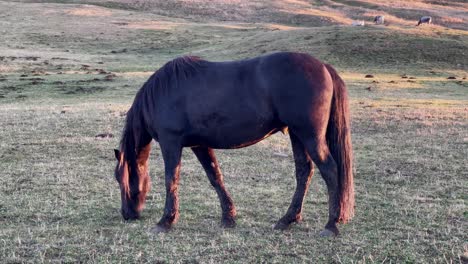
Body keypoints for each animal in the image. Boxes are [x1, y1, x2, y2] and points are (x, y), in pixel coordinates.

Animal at [113, 51, 354, 235]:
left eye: (121, 178)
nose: (127, 214)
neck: (163, 92)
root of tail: (323, 66)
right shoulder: (199, 145)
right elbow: (215, 177)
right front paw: (228, 216)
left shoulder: (170, 142)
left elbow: (171, 179)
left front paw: (166, 221)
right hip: (297, 134)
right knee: (304, 172)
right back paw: (287, 219)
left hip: (310, 136)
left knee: (330, 170)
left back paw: (331, 224)